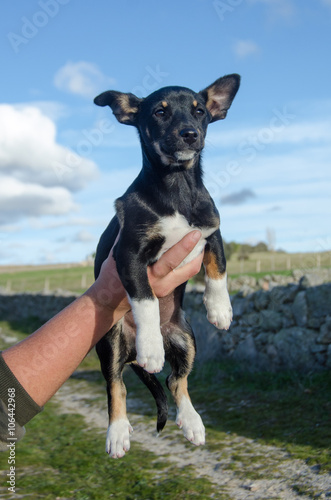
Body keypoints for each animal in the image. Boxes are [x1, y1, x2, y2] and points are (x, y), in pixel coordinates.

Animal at [93, 73, 241, 458]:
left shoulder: (211, 232)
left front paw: (220, 309)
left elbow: (218, 269)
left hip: (186, 338)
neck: (177, 185)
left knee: (177, 380)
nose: (190, 133)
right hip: (110, 341)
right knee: (116, 385)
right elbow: (145, 299)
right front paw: (151, 348)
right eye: (160, 112)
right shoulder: (129, 254)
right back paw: (118, 432)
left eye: (200, 111)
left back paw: (192, 422)